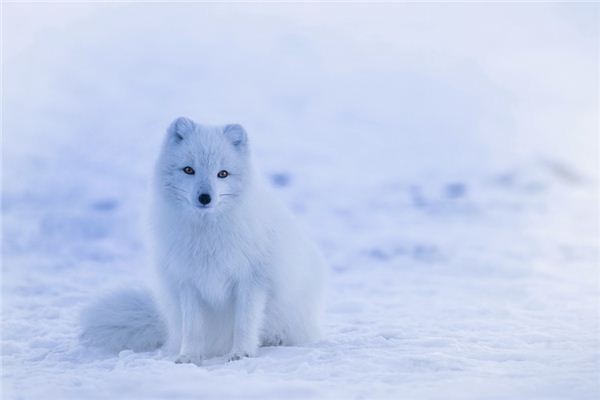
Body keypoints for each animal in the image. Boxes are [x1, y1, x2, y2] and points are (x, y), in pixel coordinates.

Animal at [80, 117, 328, 364]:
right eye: (189, 170)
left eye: (223, 174)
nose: (205, 198)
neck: (207, 235)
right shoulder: (188, 281)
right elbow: (193, 328)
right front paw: (188, 357)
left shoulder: (252, 280)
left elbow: (244, 323)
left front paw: (241, 353)